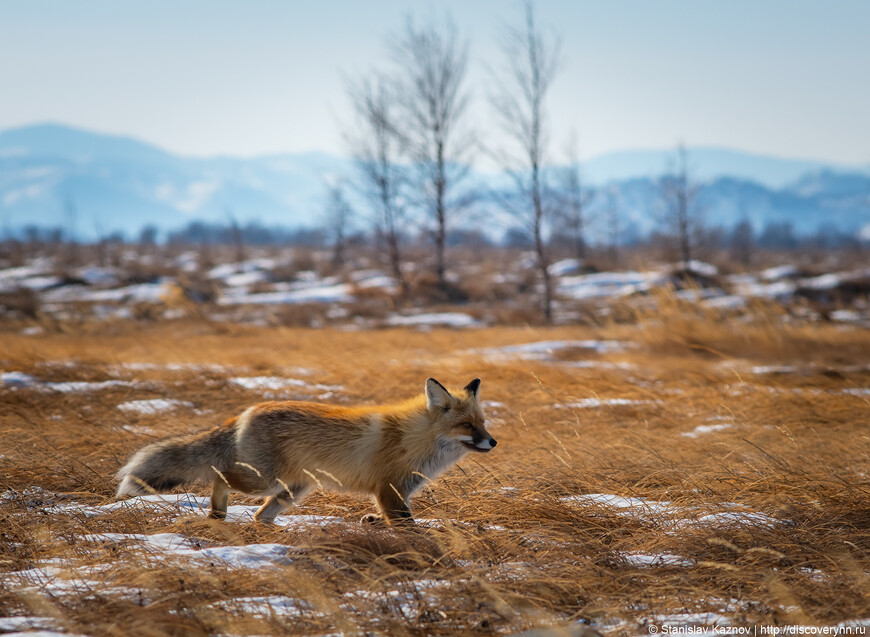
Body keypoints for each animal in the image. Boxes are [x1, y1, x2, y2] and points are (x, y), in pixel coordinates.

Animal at [116, 378, 498, 520]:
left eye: (483, 423)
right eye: (467, 426)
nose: (493, 442)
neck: (414, 439)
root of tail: (247, 411)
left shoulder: (396, 493)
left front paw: (373, 522)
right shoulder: (389, 490)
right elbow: (409, 528)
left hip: (293, 490)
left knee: (260, 514)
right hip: (263, 480)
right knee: (220, 476)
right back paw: (217, 513)